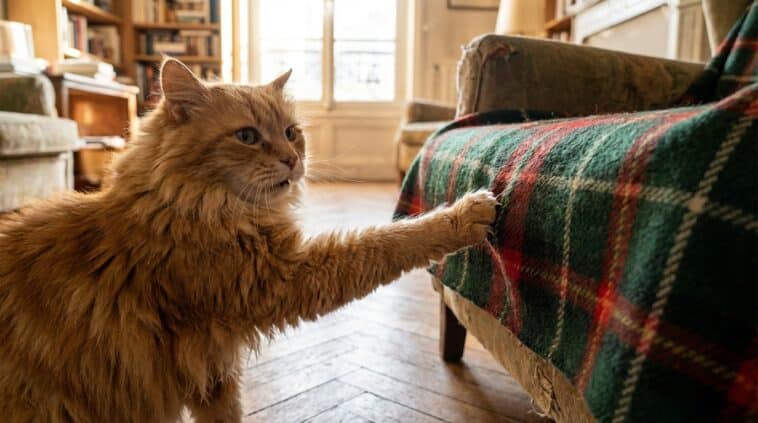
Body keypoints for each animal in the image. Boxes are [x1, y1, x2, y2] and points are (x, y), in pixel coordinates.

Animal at [0, 58, 497, 422]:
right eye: (247, 136)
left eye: (292, 132)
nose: (293, 159)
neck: (186, 203)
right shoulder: (280, 281)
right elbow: (388, 241)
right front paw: (464, 215)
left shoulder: (213, 371)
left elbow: (227, 414)